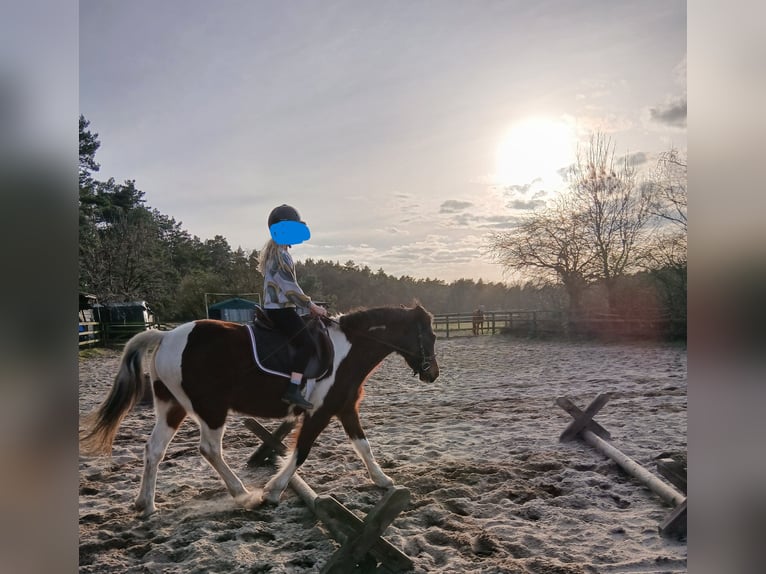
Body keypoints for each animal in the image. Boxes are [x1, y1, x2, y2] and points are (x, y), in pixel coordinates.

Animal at [80, 303, 439, 516]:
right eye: (432, 336)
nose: (433, 373)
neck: (348, 350)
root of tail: (167, 336)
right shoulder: (319, 412)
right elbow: (302, 452)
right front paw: (273, 491)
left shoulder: (345, 407)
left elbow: (363, 446)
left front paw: (383, 480)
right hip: (211, 409)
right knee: (209, 449)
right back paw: (242, 494)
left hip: (172, 407)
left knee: (154, 449)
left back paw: (146, 503)